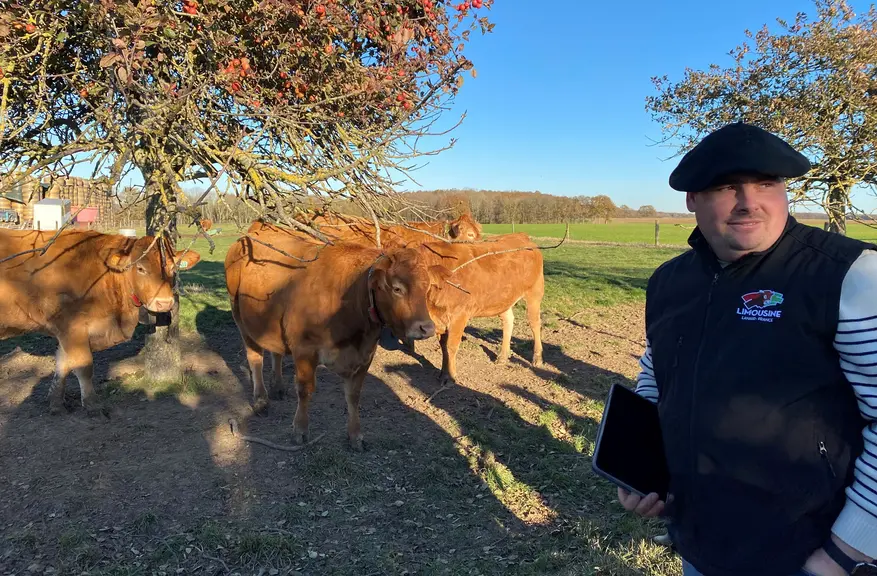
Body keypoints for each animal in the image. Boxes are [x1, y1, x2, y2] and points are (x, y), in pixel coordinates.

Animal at [0, 229, 201, 415]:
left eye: (173, 268)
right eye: (140, 268)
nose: (165, 302)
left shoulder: (66, 332)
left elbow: (62, 364)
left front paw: (56, 403)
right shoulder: (72, 327)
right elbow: (84, 366)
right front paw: (92, 404)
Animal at [224, 221, 452, 450]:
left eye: (428, 287)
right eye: (397, 288)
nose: (426, 328)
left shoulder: (365, 355)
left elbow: (353, 395)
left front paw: (355, 435)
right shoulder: (305, 350)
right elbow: (305, 390)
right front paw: (300, 430)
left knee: (276, 352)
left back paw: (277, 387)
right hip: (241, 318)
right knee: (255, 358)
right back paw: (261, 400)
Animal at [418, 233, 545, 385]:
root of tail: (521, 235)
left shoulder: (459, 316)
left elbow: (451, 347)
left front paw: (451, 376)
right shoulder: (440, 319)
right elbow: (443, 347)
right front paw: (443, 374)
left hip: (534, 293)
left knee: (535, 323)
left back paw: (537, 358)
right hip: (503, 298)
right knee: (508, 321)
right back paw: (502, 357)